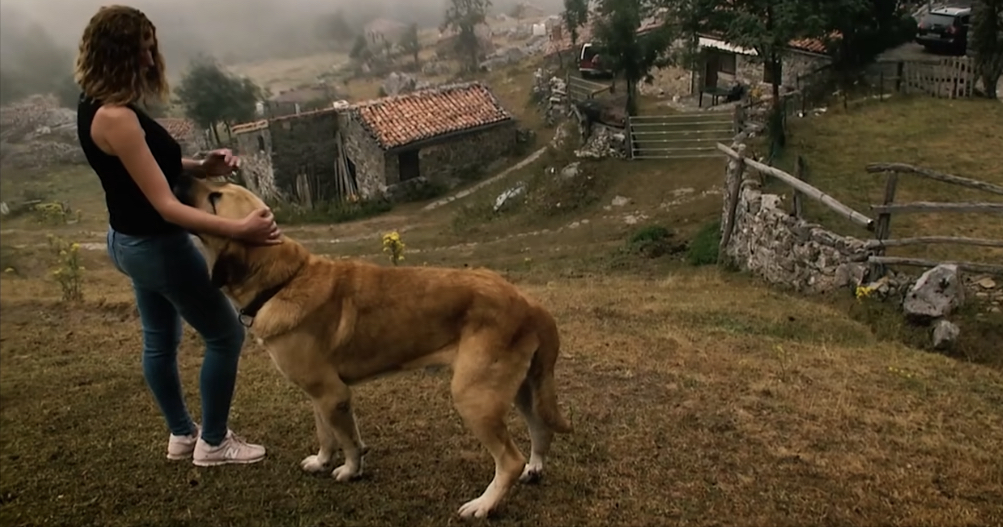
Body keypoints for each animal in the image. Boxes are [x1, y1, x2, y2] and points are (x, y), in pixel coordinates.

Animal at [174, 175, 573, 517]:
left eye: (215, 198)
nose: (179, 177)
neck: (283, 280)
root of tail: (528, 302)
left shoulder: (333, 394)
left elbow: (348, 440)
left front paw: (350, 471)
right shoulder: (318, 394)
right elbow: (327, 434)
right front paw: (322, 461)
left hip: (475, 397)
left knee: (509, 459)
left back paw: (484, 505)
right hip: (521, 389)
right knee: (541, 429)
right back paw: (535, 469)